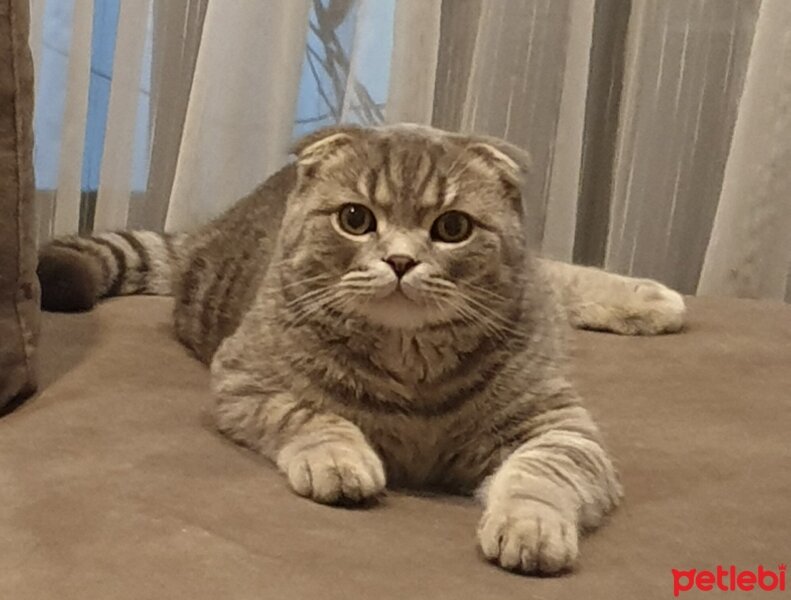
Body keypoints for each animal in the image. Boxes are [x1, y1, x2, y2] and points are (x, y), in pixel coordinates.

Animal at [38, 123, 688, 576]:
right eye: (355, 218)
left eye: (453, 227)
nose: (400, 261)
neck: (413, 360)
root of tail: (209, 232)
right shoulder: (245, 380)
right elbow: (312, 414)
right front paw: (339, 459)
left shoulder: (559, 424)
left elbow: (542, 472)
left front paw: (531, 525)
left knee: (554, 273)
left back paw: (653, 299)